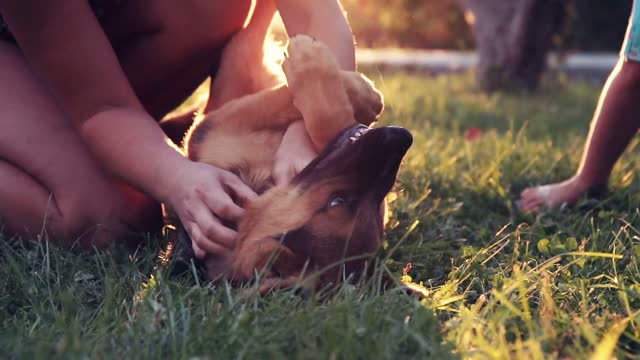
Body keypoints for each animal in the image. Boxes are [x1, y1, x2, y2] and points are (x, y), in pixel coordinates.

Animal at [165, 34, 412, 292]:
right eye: (337, 201)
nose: (402, 137)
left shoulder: (222, 124)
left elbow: (323, 116)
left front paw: (311, 63)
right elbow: (332, 120)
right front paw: (364, 96)